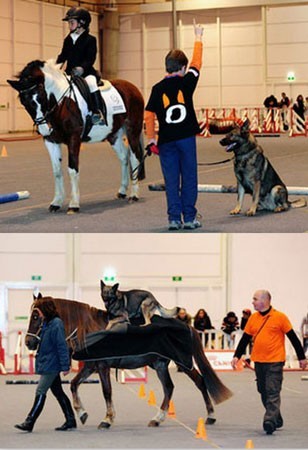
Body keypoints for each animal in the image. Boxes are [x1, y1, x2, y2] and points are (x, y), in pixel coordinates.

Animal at [7, 59, 145, 213]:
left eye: (41, 96)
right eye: (23, 101)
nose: (43, 128)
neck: (61, 103)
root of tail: (133, 88)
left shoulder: (74, 138)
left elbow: (72, 170)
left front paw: (73, 204)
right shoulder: (51, 141)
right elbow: (57, 171)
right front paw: (56, 202)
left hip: (133, 130)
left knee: (135, 157)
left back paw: (134, 195)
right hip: (114, 135)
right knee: (124, 158)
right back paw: (122, 191)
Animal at [25, 296, 232, 428]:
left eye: (35, 316)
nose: (28, 342)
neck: (91, 329)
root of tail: (186, 325)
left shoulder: (102, 366)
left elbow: (106, 391)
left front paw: (107, 419)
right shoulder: (91, 366)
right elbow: (74, 385)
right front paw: (82, 413)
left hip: (182, 362)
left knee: (200, 382)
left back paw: (210, 416)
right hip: (160, 365)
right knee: (169, 387)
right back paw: (158, 418)